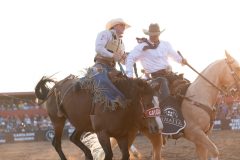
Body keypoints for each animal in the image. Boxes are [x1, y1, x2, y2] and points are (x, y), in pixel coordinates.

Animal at [34, 74, 162, 159]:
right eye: (147, 104)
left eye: (158, 102)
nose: (158, 127)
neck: (117, 105)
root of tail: (51, 90)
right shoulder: (102, 134)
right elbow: (109, 155)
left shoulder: (122, 135)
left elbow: (125, 155)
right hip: (58, 121)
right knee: (57, 143)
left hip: (81, 124)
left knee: (73, 138)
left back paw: (88, 155)